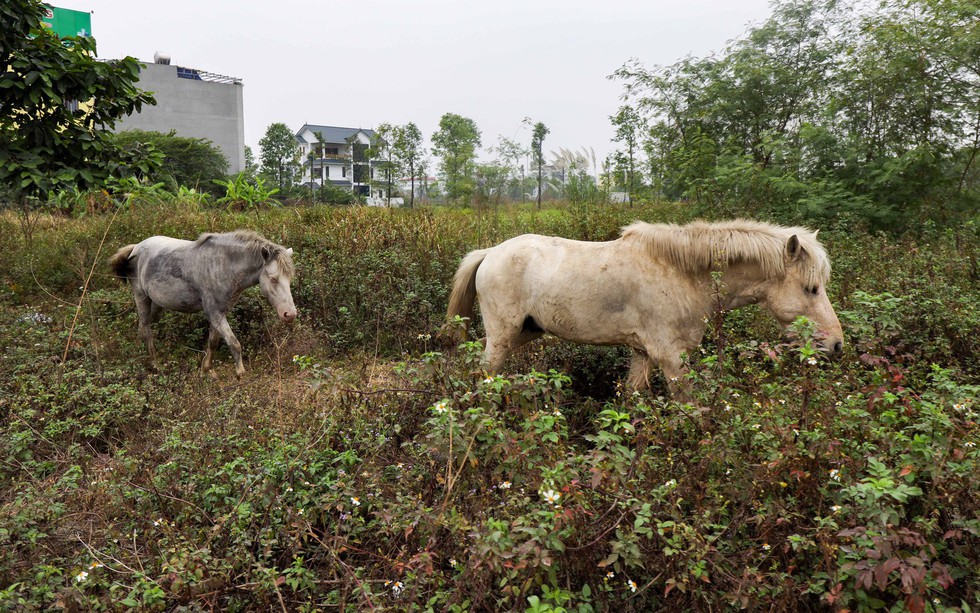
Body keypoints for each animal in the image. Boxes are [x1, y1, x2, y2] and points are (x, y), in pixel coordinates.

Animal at [109, 230, 296, 376]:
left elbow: (213, 341)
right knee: (146, 329)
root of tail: (135, 248)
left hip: (156, 303)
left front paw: (206, 370)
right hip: (141, 297)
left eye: (289, 279)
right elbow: (234, 343)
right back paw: (156, 364)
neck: (223, 266)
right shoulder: (214, 312)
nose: (290, 314)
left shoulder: (220, 313)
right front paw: (240, 374)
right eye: (273, 279)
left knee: (142, 327)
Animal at [448, 218, 848, 400]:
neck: (684, 275)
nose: (836, 345)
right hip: (503, 336)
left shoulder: (642, 353)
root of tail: (489, 253)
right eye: (811, 288)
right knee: (484, 375)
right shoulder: (670, 357)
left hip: (523, 332)